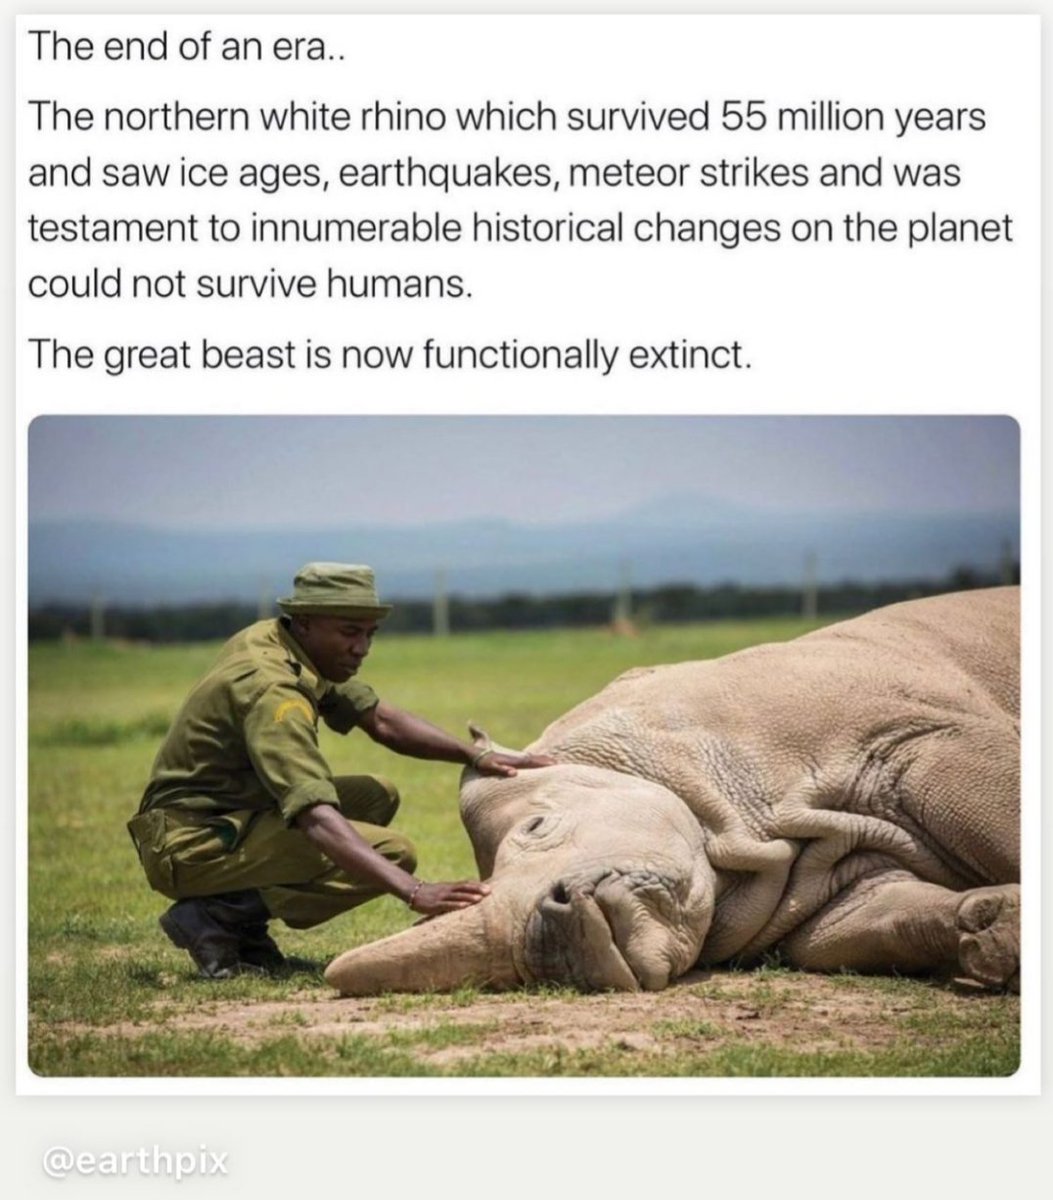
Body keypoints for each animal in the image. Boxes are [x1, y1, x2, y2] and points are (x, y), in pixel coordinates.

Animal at [325, 588, 1020, 996]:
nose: (551, 950)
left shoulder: (919, 736)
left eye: (537, 828)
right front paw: (996, 934)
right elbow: (879, 917)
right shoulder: (828, 882)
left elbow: (999, 814)